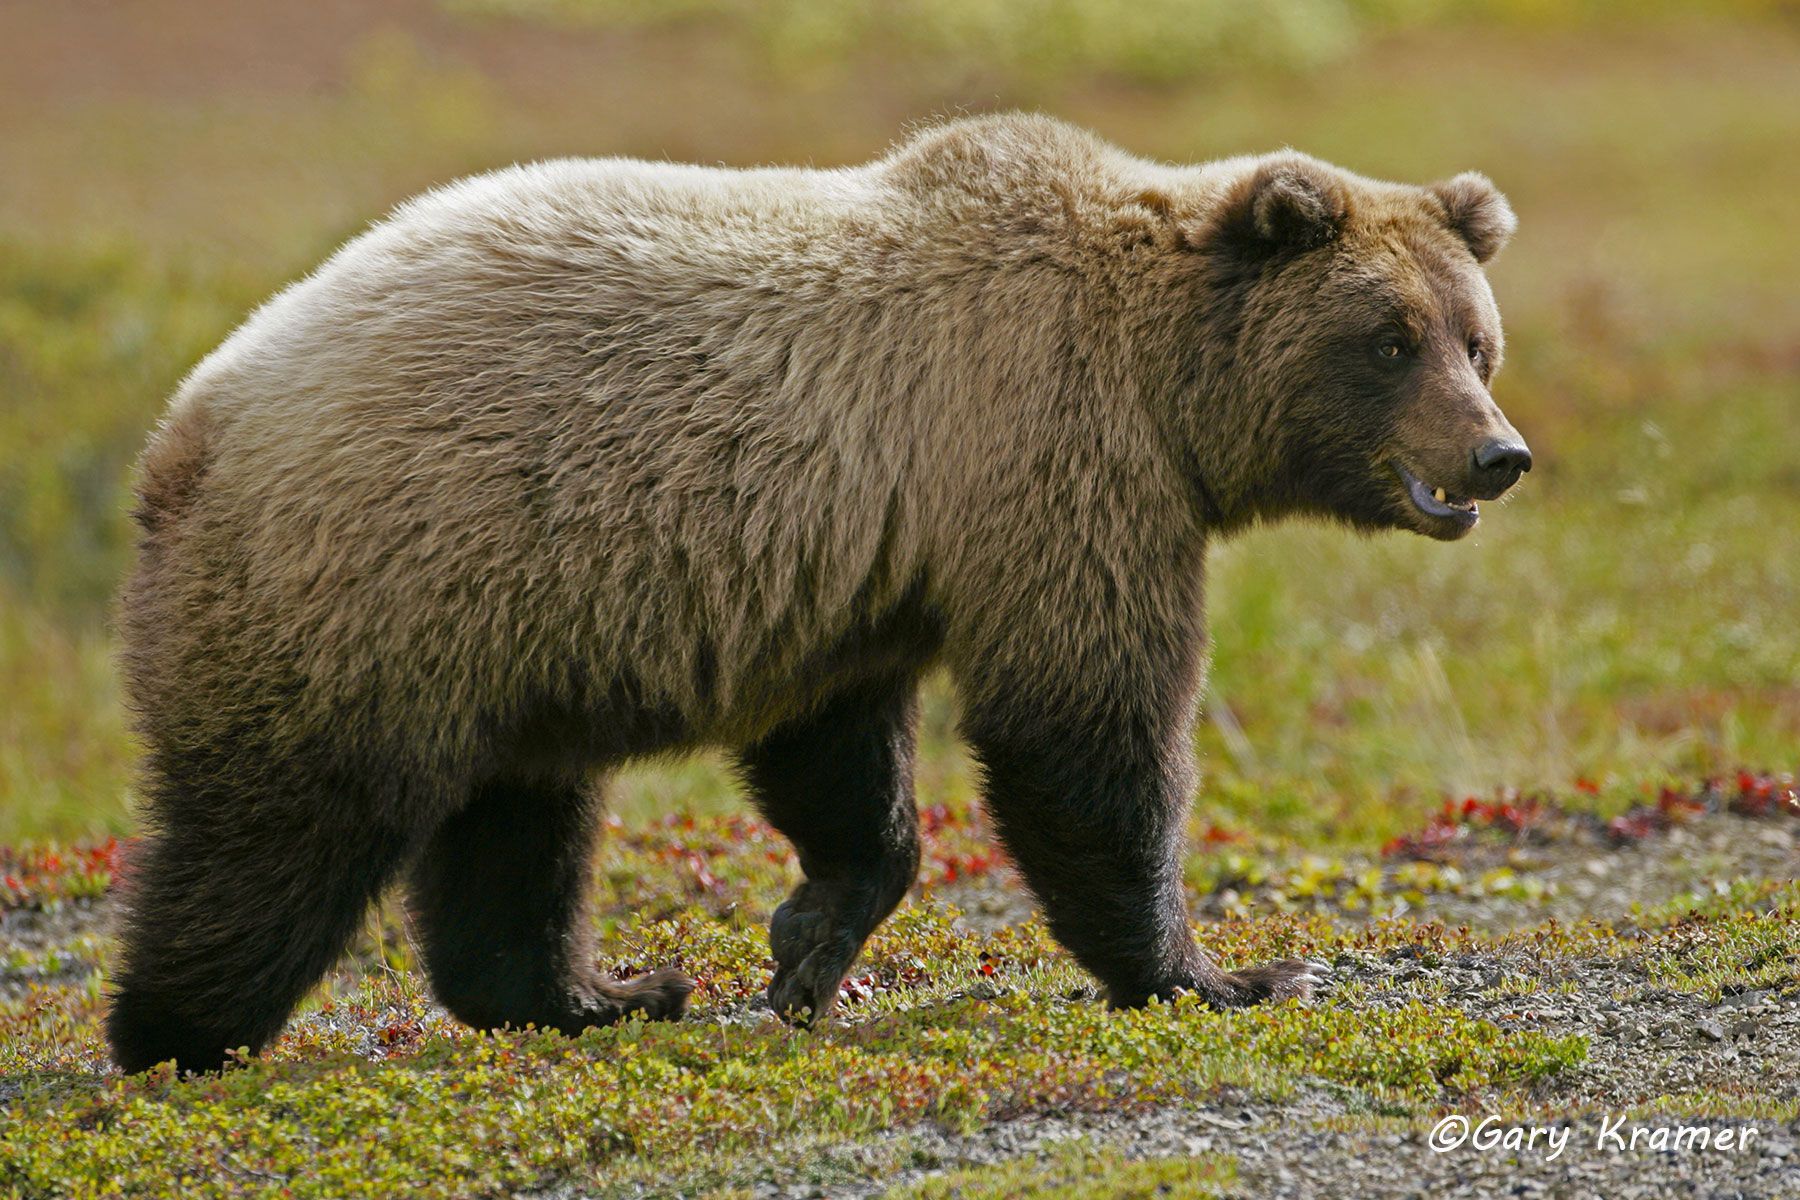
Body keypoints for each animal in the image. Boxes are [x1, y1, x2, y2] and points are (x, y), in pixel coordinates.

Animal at [108, 113, 1530, 1074]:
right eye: (1389, 338)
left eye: (1477, 338)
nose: (1497, 456)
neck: (1163, 382)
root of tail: (183, 430)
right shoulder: (1051, 459)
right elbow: (1083, 730)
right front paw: (1220, 972)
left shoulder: (866, 557)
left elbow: (840, 761)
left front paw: (806, 946)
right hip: (369, 580)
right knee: (281, 835)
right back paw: (178, 1035)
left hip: (504, 628)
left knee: (516, 827)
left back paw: (601, 993)